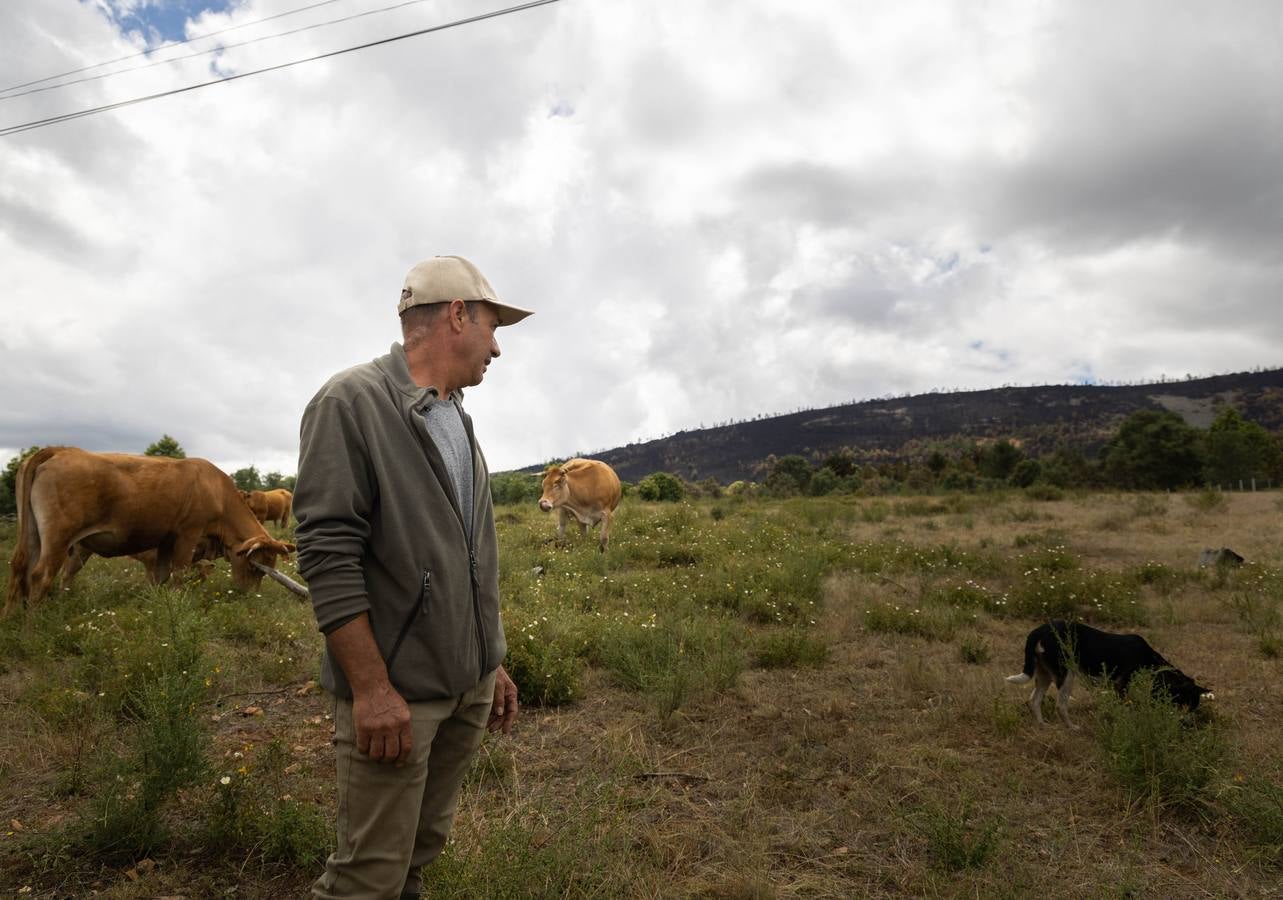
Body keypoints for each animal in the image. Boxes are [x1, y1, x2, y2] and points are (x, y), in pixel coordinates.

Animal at [6, 446, 300, 613]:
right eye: (254, 567)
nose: (248, 595)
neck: (218, 493)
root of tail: (59, 450)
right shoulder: (187, 533)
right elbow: (178, 573)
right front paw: (178, 603)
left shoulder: (165, 541)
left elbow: (161, 576)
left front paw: (158, 603)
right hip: (58, 537)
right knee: (41, 575)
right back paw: (34, 625)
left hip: (36, 536)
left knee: (24, 570)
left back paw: (13, 618)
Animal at [1000, 621, 1211, 729]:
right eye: (1186, 704)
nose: (1186, 724)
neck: (1148, 659)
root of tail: (1038, 630)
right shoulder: (1121, 686)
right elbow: (1124, 710)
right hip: (1066, 674)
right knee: (1060, 705)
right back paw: (1072, 728)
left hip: (1045, 674)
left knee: (1034, 700)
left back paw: (1043, 725)